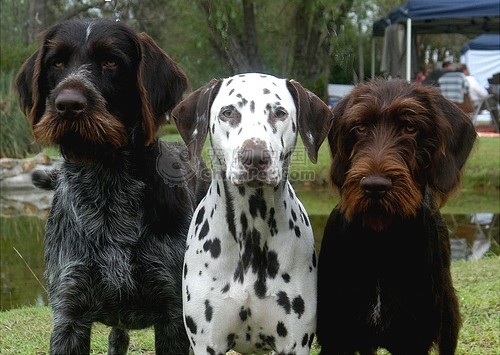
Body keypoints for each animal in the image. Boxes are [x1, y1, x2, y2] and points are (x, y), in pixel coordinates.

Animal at [15, 18, 207, 354]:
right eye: (57, 63)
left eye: (111, 61)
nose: (67, 105)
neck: (107, 186)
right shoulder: (69, 315)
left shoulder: (173, 315)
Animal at [171, 73, 332, 355]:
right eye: (228, 112)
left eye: (279, 113)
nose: (255, 156)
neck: (251, 229)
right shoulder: (206, 343)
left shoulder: (295, 343)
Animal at [316, 80, 476, 355]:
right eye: (360, 127)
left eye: (410, 127)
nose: (374, 187)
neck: (380, 241)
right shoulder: (336, 337)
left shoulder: (413, 339)